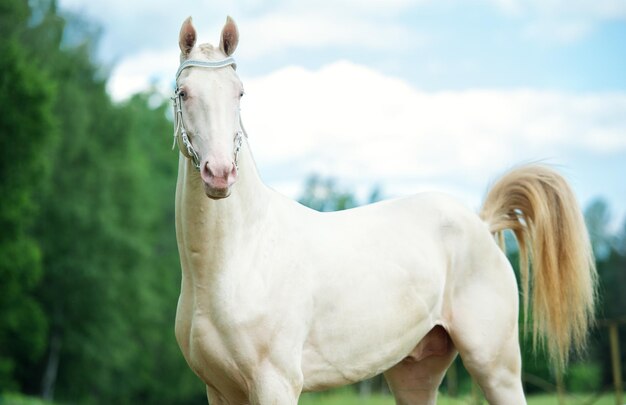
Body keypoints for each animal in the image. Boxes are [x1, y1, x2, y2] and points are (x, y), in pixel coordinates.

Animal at [172, 16, 596, 404]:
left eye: (239, 93)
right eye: (183, 92)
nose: (220, 174)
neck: (241, 259)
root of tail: (480, 222)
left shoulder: (275, 384)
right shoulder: (219, 391)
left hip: (495, 365)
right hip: (416, 371)